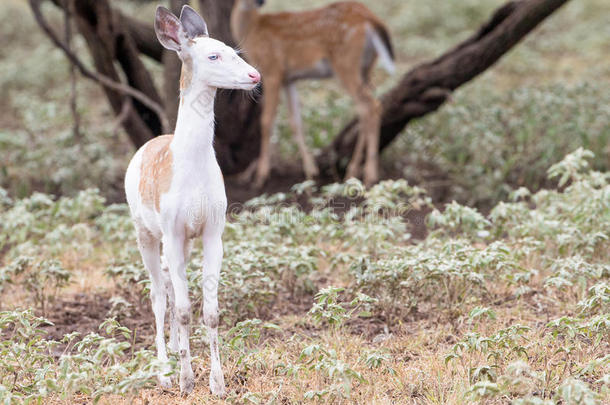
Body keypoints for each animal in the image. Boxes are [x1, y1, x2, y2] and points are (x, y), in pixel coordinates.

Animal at [229, 0, 394, 186]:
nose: (260, 2)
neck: (252, 29)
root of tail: (372, 19)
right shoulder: (289, 79)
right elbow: (296, 122)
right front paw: (310, 170)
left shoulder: (272, 70)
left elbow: (266, 121)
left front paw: (260, 177)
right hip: (366, 67)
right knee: (370, 106)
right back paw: (357, 171)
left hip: (345, 63)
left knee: (369, 106)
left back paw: (366, 174)